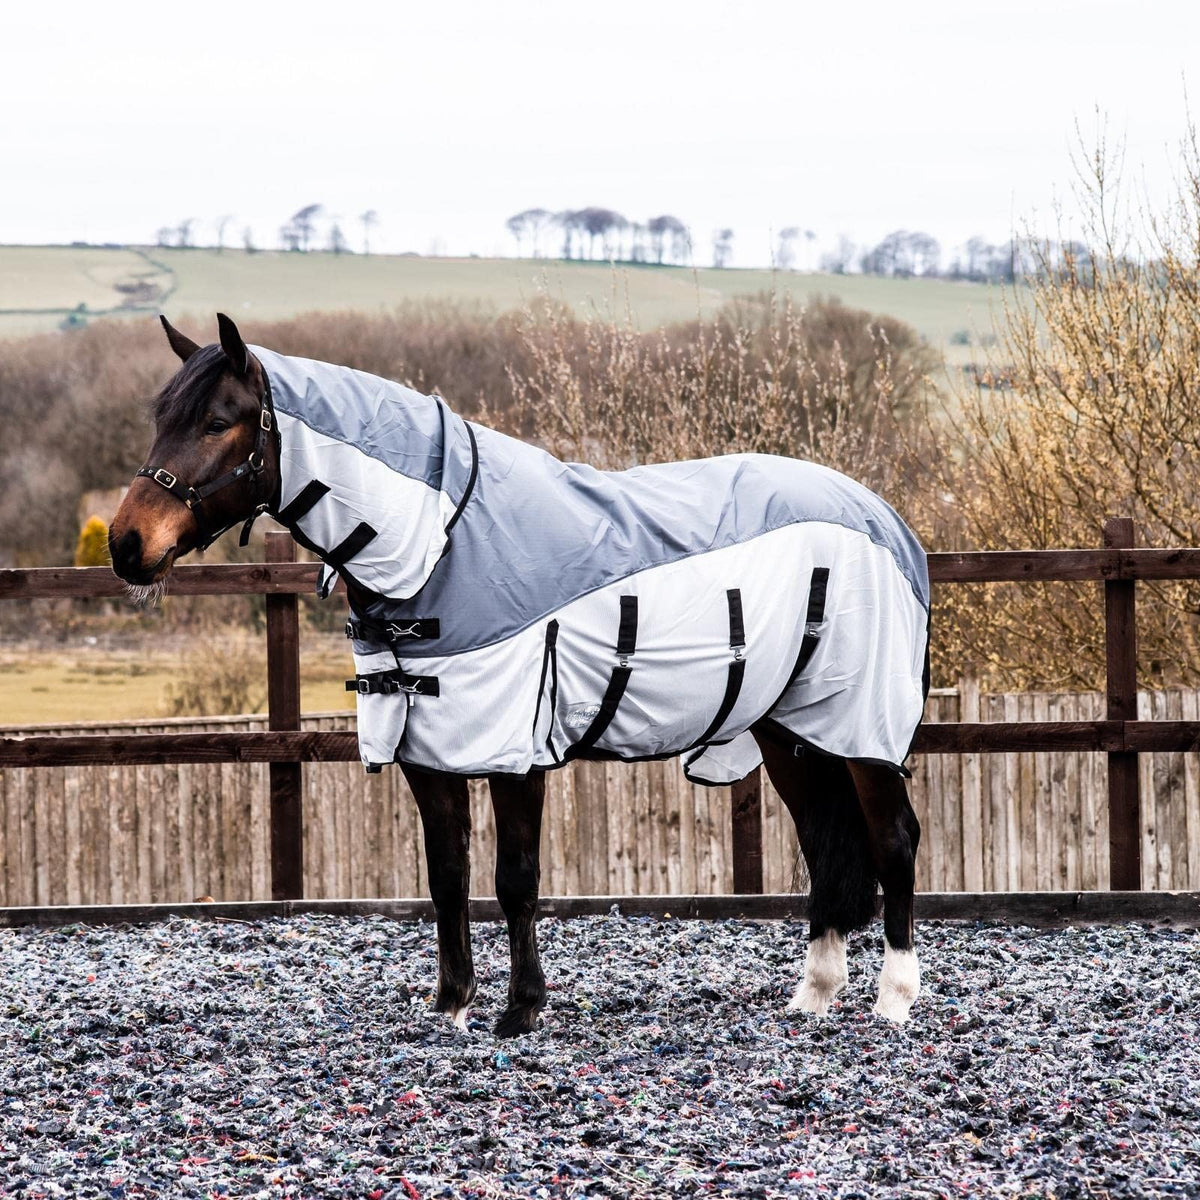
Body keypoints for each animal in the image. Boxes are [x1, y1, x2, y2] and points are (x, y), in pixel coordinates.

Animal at [109, 313, 928, 1037]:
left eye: (219, 421)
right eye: (161, 417)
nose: (125, 544)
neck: (442, 540)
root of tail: (884, 519)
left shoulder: (514, 751)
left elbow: (515, 879)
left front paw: (521, 1010)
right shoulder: (428, 753)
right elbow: (448, 878)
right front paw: (451, 1006)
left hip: (862, 727)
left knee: (893, 838)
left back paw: (893, 1000)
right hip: (791, 730)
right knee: (824, 841)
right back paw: (814, 996)